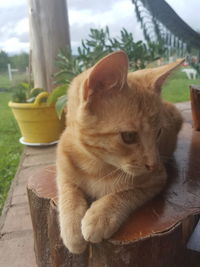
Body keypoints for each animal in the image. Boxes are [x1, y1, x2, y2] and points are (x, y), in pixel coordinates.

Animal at [55, 51, 183, 254]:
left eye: (158, 133)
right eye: (128, 136)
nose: (153, 164)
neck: (96, 166)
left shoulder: (157, 179)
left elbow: (126, 193)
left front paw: (101, 215)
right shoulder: (63, 170)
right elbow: (68, 192)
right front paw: (72, 229)